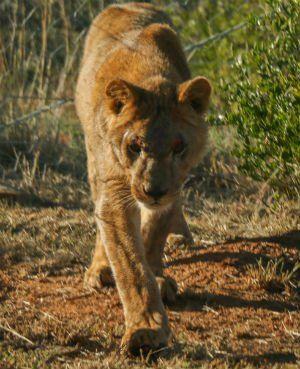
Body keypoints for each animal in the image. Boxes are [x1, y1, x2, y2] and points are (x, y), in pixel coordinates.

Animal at [75, 1, 211, 356]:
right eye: (135, 145)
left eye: (178, 147)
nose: (154, 191)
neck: (150, 73)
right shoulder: (116, 190)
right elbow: (131, 266)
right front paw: (146, 329)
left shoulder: (175, 185)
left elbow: (153, 237)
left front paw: (159, 277)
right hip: (94, 160)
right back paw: (99, 270)